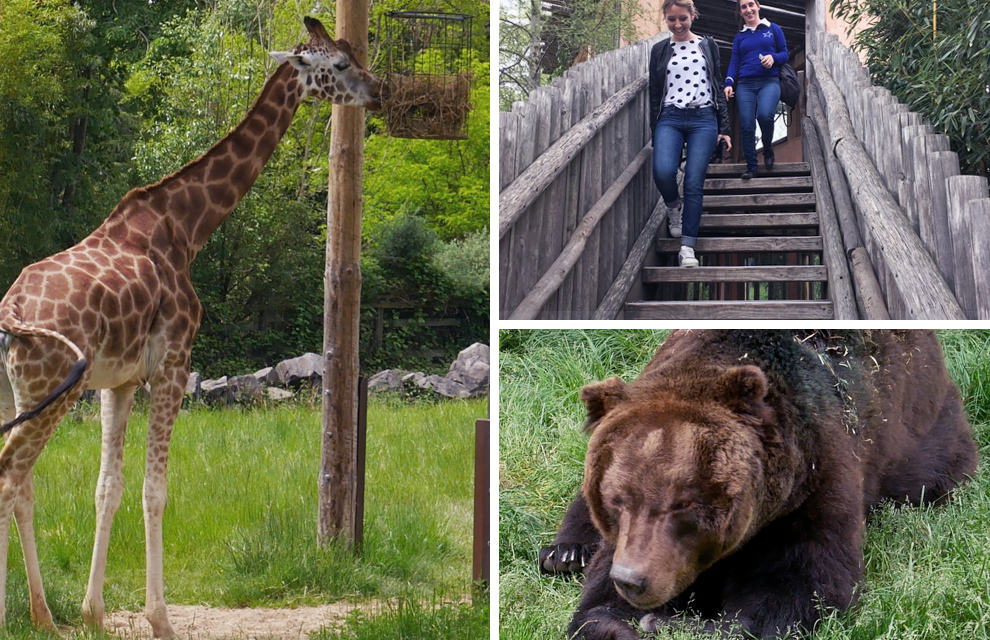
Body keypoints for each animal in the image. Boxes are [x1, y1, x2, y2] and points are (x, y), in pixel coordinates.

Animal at [0, 17, 384, 637]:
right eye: (341, 64)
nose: (379, 91)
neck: (188, 226)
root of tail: (10, 314)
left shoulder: (118, 382)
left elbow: (108, 488)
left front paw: (94, 613)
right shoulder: (174, 363)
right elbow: (154, 491)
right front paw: (159, 617)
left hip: (17, 393)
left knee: (22, 483)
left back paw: (42, 615)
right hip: (49, 391)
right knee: (10, 478)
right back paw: (29, 614)